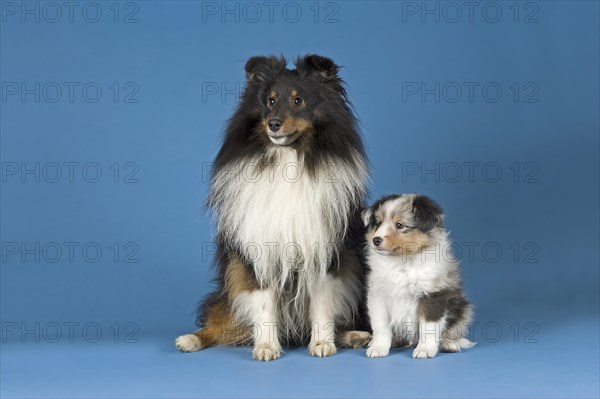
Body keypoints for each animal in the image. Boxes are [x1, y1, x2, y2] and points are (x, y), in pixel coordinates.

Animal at [360, 195, 474, 360]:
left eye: (400, 225)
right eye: (378, 223)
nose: (376, 240)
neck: (403, 261)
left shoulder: (433, 295)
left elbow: (429, 327)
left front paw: (425, 350)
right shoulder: (378, 295)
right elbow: (380, 325)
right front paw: (378, 347)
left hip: (464, 309)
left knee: (452, 331)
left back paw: (449, 344)